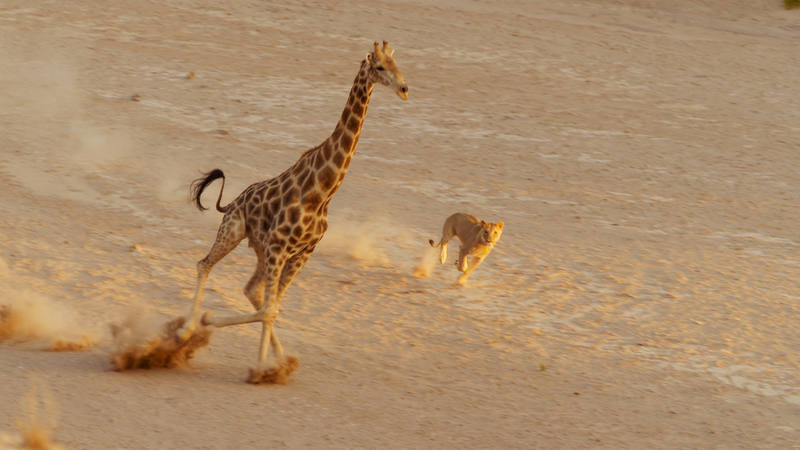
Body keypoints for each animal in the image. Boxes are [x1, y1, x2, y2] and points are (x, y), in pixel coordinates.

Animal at [180, 41, 406, 384]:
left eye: (398, 65)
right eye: (380, 67)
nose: (404, 88)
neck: (322, 190)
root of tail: (233, 202)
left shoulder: (302, 252)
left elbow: (272, 307)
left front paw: (275, 365)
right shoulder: (279, 246)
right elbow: (269, 309)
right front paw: (254, 361)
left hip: (260, 249)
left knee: (252, 289)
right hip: (233, 230)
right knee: (204, 265)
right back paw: (188, 330)